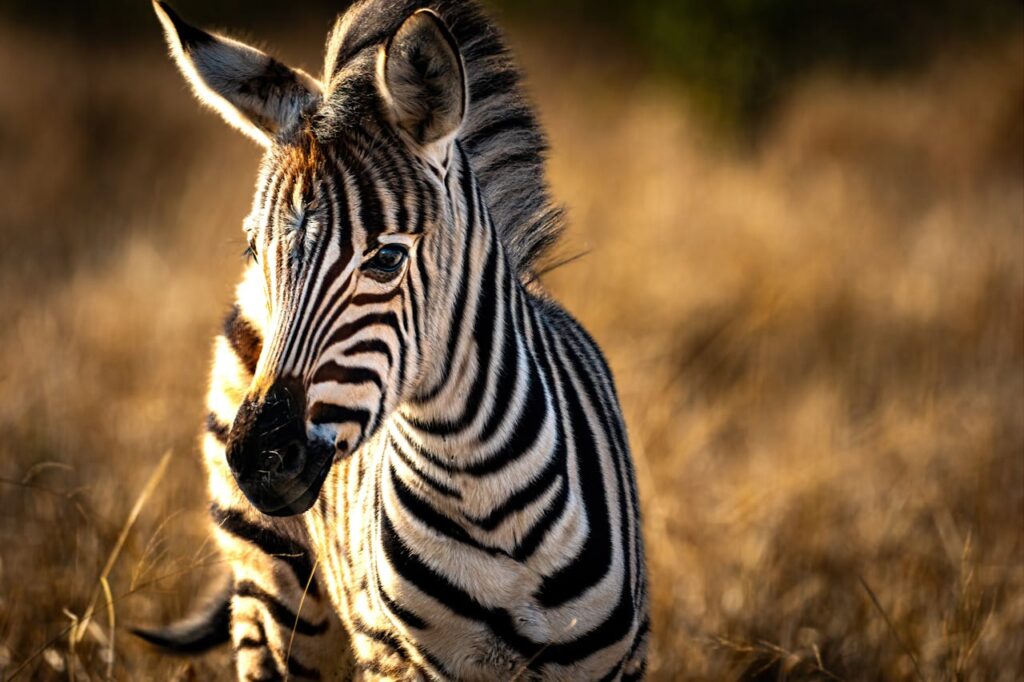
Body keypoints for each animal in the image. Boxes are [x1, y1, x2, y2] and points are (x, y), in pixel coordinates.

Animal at [137, 0, 649, 679]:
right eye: (253, 247)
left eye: (385, 259)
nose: (257, 460)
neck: (480, 490)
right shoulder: (405, 657)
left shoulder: (614, 660)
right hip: (270, 587)